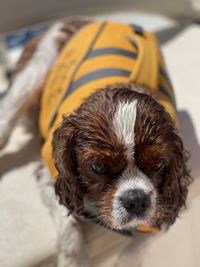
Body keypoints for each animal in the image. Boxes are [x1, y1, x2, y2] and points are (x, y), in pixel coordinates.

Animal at [0, 19, 194, 267]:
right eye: (98, 167)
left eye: (158, 165)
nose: (136, 200)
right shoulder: (48, 170)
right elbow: (70, 230)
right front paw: (74, 259)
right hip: (33, 74)